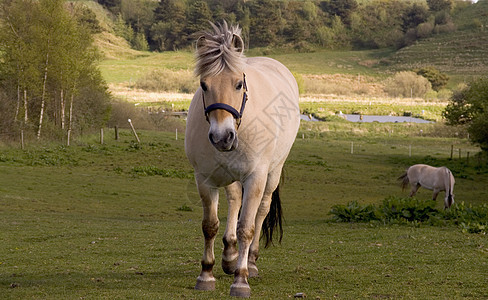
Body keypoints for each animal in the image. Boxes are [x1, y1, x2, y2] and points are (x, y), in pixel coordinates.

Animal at [184, 21, 302, 298]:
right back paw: (229, 255)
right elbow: (210, 225)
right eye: (204, 85)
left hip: (272, 174)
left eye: (238, 84)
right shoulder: (205, 179)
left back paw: (251, 261)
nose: (222, 137)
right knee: (235, 199)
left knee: (261, 211)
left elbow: (246, 227)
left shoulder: (255, 177)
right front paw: (206, 274)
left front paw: (241, 279)